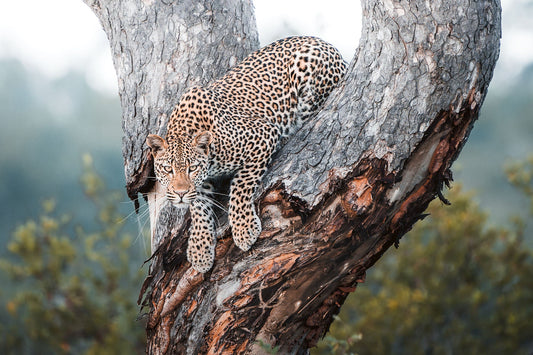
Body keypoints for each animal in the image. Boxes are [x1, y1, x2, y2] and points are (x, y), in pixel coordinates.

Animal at [148, 36, 344, 274]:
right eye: (168, 169)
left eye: (191, 168)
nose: (180, 193)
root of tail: (324, 43)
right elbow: (198, 206)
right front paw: (200, 248)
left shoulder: (263, 135)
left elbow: (241, 185)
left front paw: (243, 229)